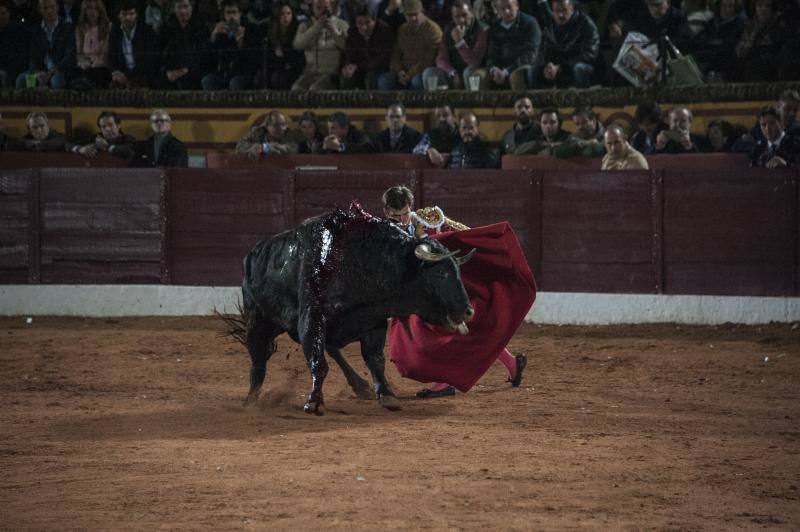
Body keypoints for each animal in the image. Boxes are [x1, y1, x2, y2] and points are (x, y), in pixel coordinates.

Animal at [241, 205, 472, 416]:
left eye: (458, 271)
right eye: (441, 272)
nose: (469, 311)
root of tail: (252, 254)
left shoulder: (374, 320)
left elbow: (375, 360)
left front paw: (387, 395)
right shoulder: (312, 317)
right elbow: (318, 360)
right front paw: (314, 402)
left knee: (332, 348)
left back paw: (360, 386)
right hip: (258, 320)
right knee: (258, 357)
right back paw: (251, 399)